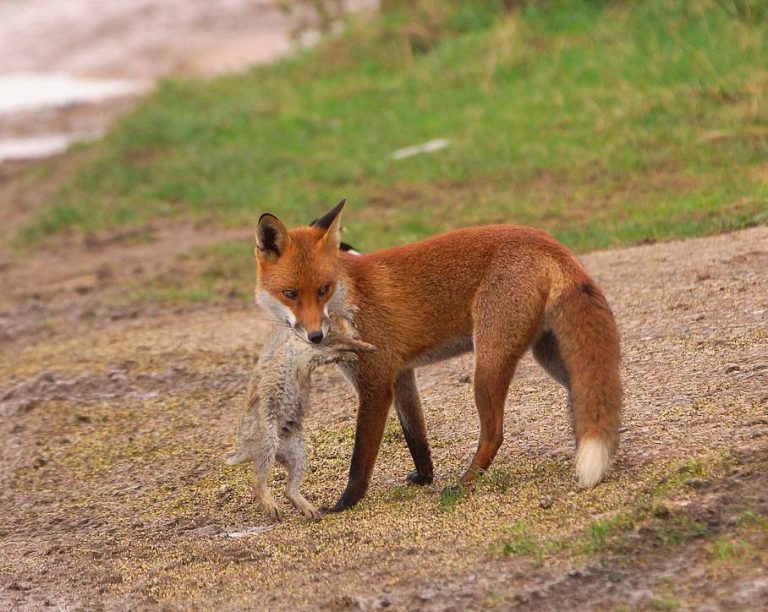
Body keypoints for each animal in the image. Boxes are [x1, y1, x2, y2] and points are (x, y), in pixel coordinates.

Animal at [255, 202, 620, 512]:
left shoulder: (376, 384)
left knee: (494, 432)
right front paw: (424, 477)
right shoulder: (401, 376)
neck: (350, 295)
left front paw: (344, 504)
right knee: (593, 399)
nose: (315, 336)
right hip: (552, 357)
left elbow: (360, 459)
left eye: (323, 289)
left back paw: (465, 483)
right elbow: (416, 437)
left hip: (488, 363)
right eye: (290, 294)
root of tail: (548, 240)